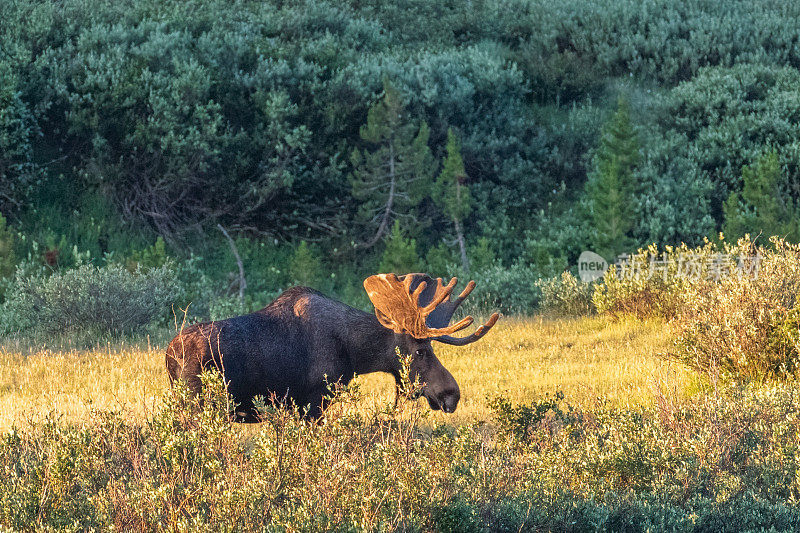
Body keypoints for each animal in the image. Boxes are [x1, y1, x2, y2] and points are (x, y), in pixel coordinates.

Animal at [166, 274, 496, 420]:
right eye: (420, 351)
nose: (452, 393)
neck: (353, 352)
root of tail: (169, 356)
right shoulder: (314, 402)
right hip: (197, 406)